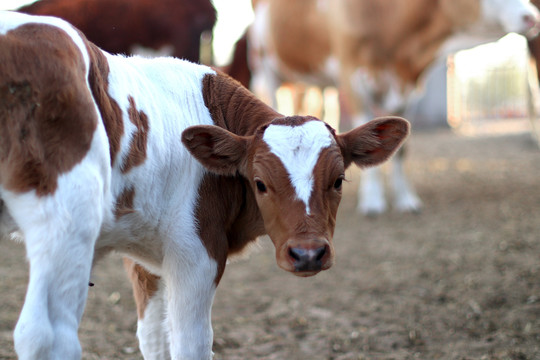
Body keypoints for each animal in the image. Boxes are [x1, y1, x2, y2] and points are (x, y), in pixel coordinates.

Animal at [0, 11, 410, 360]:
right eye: (260, 183)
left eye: (338, 180)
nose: (308, 253)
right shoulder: (196, 252)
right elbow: (191, 344)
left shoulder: (146, 260)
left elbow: (154, 338)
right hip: (67, 218)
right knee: (44, 335)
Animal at [250, 0, 540, 215]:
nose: (532, 17)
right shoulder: (351, 76)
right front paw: (373, 201)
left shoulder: (407, 93)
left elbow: (401, 152)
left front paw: (405, 200)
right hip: (266, 63)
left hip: (318, 80)